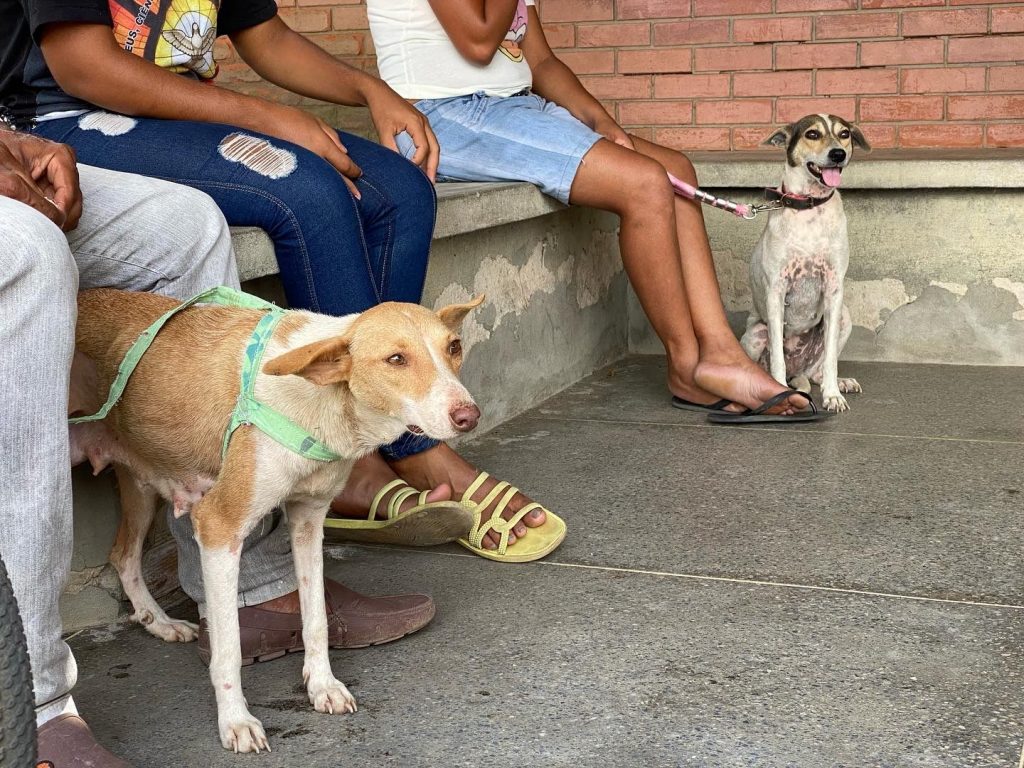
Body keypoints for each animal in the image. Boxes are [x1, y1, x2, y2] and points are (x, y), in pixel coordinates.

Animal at [70, 289, 484, 753]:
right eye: (396, 359)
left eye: (454, 347)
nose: (469, 416)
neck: (321, 399)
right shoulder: (218, 527)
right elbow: (228, 648)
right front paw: (235, 720)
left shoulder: (308, 520)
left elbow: (315, 616)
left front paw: (322, 685)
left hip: (140, 483)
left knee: (122, 554)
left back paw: (158, 622)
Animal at [740, 114, 870, 412]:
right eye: (812, 134)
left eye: (844, 134)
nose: (838, 154)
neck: (810, 208)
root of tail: (796, 370)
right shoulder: (776, 292)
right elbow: (777, 357)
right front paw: (779, 396)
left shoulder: (834, 290)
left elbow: (831, 359)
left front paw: (833, 395)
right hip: (756, 333)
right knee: (766, 366)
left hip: (845, 317)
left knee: (816, 372)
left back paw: (838, 383)